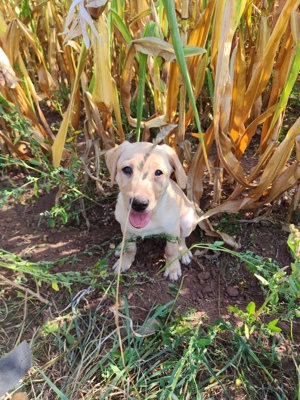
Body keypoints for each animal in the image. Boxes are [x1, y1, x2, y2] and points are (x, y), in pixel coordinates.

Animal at [104, 141, 198, 282]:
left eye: (158, 172)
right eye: (127, 169)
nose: (139, 204)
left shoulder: (172, 231)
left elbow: (171, 250)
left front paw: (173, 268)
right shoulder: (127, 227)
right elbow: (130, 248)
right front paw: (124, 261)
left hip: (188, 221)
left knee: (182, 238)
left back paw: (183, 251)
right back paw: (120, 246)